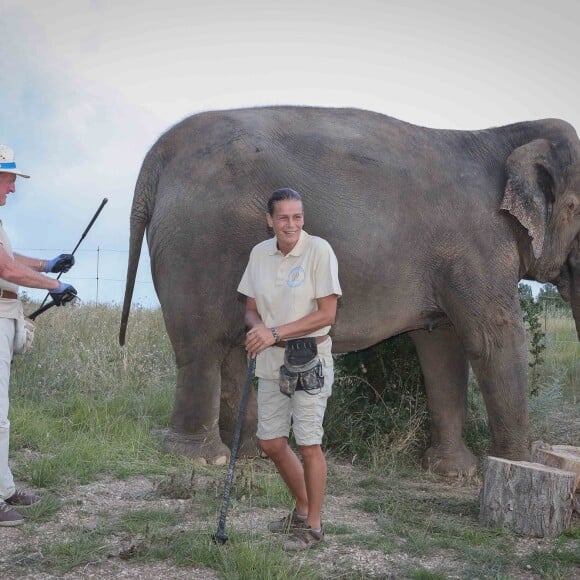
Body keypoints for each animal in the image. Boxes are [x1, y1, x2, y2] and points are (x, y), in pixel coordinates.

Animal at [119, 105, 580, 476]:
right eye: (578, 208)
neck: (504, 135)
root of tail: (158, 154)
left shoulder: (452, 255)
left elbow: (442, 347)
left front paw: (452, 472)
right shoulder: (479, 245)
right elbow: (492, 338)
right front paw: (516, 464)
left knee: (234, 345)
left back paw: (250, 453)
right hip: (199, 243)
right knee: (202, 343)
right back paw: (202, 458)